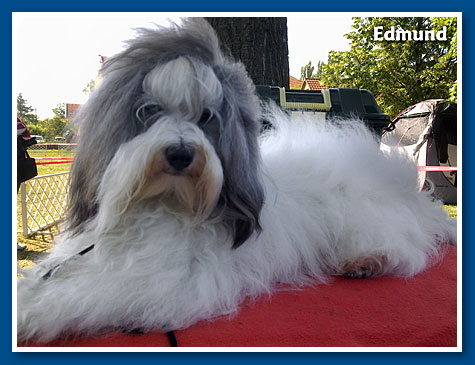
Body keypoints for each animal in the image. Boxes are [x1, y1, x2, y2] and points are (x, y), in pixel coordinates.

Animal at [17, 18, 458, 342]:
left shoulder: (160, 281)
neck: (160, 203)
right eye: (149, 111)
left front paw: (27, 313)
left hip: (361, 214)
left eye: (206, 117)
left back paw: (367, 260)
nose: (181, 153)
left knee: (408, 248)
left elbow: (81, 296)